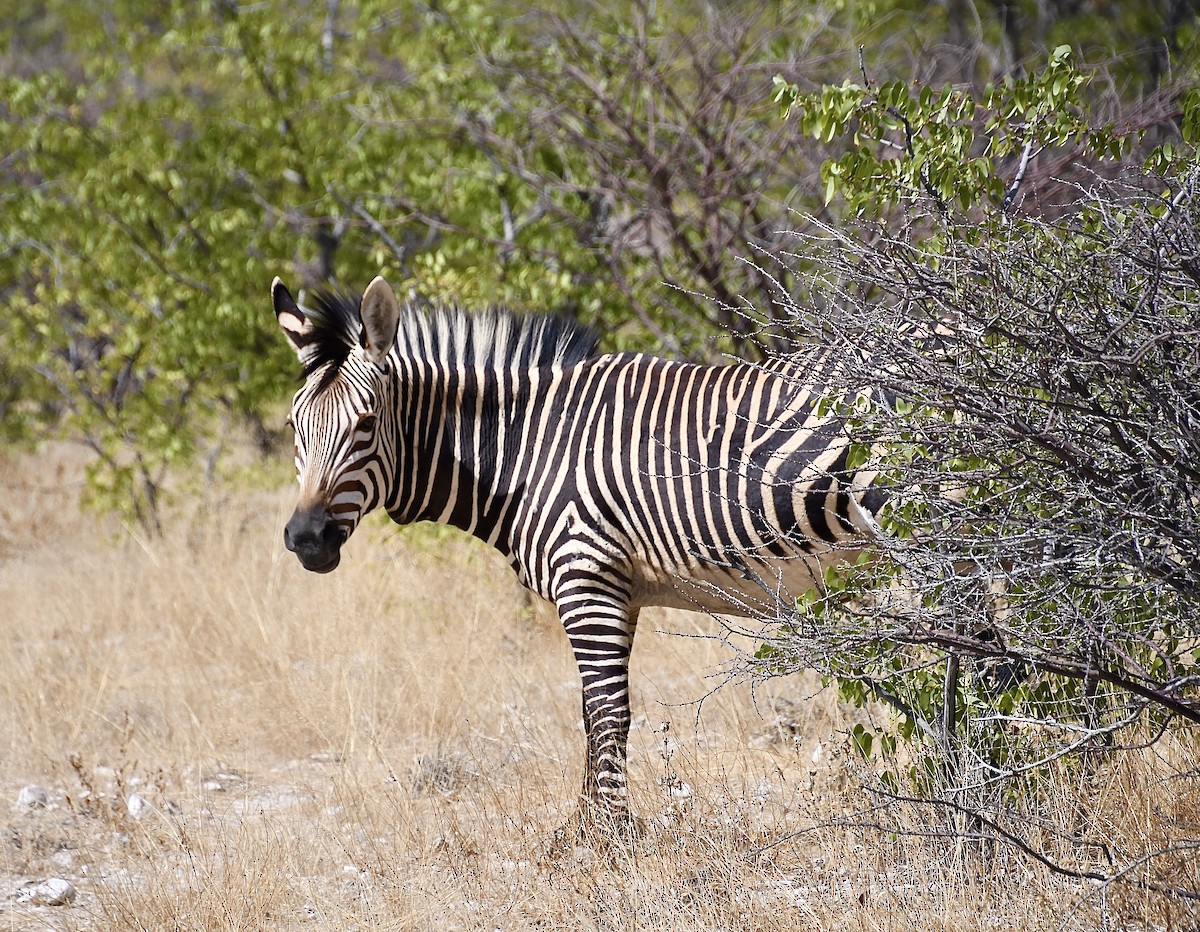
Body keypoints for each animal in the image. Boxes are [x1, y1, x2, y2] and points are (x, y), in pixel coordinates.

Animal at [273, 274, 885, 828]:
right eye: (294, 424)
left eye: (366, 423)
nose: (306, 539)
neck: (527, 452)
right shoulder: (620, 588)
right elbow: (591, 715)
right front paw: (585, 828)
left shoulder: (586, 578)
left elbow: (610, 712)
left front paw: (610, 839)